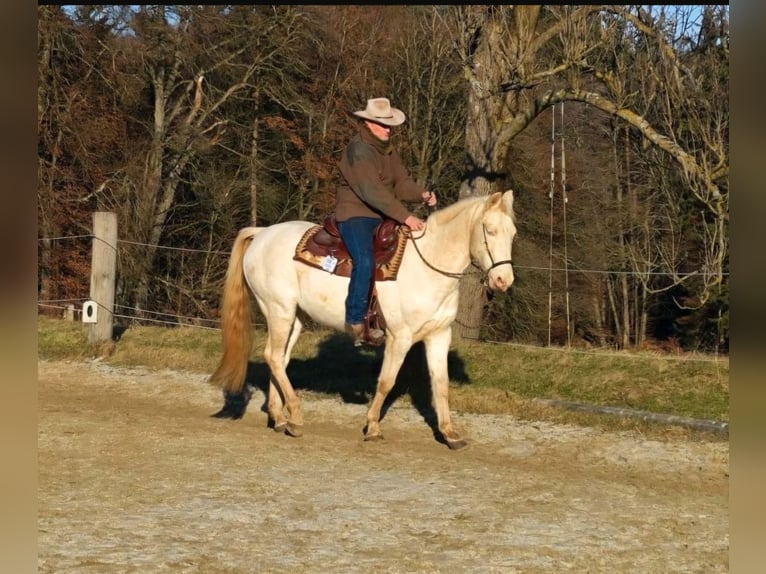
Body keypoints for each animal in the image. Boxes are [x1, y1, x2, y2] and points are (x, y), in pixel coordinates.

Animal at [212, 189, 516, 450]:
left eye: (512, 233)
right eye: (490, 230)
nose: (503, 280)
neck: (427, 266)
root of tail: (262, 234)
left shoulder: (439, 335)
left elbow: (440, 385)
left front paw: (450, 434)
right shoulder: (399, 337)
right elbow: (386, 382)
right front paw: (373, 427)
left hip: (294, 318)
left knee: (279, 359)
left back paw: (279, 417)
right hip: (278, 309)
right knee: (273, 357)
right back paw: (296, 416)